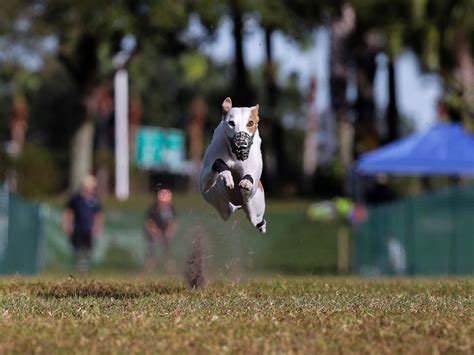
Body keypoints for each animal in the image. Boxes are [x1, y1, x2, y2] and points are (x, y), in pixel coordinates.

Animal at [198, 97, 266, 234]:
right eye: (231, 123)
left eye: (250, 123)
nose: (241, 144)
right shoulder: (204, 183)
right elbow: (218, 162)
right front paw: (227, 175)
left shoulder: (252, 188)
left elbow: (248, 180)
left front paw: (246, 181)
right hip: (219, 204)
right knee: (228, 212)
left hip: (254, 207)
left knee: (256, 220)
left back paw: (262, 225)